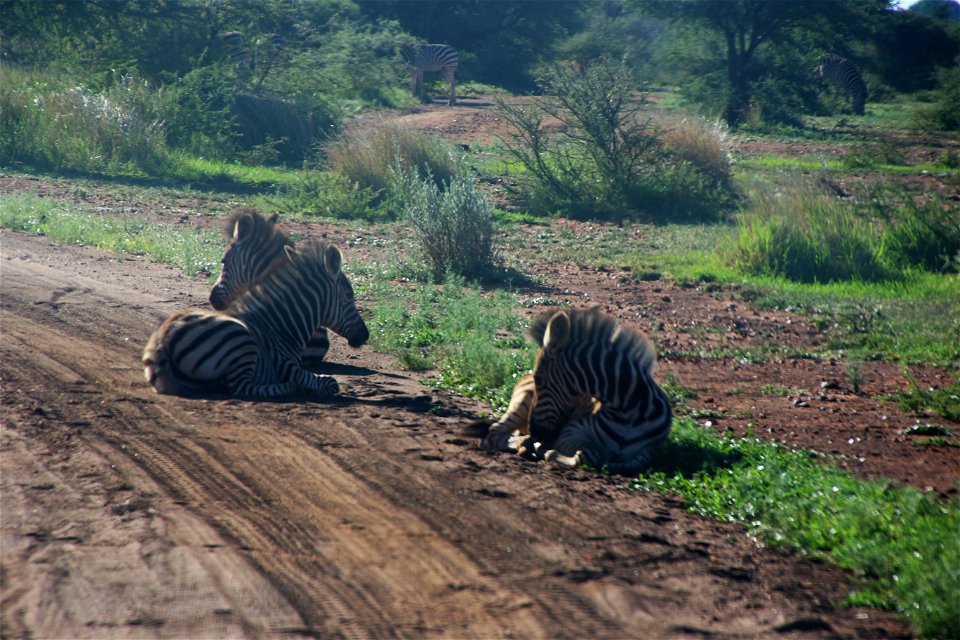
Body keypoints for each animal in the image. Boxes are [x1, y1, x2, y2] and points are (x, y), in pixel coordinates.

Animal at [143, 240, 372, 398]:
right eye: (349, 295)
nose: (365, 335)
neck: (281, 328)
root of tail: (163, 339)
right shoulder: (286, 366)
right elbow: (330, 383)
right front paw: (307, 387)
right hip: (241, 342)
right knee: (240, 388)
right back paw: (289, 388)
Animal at [468, 308, 672, 472]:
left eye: (539, 378)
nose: (536, 432)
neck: (630, 410)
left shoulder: (650, 450)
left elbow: (631, 462)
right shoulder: (571, 432)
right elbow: (588, 455)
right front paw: (546, 450)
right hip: (521, 405)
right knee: (494, 433)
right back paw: (525, 444)